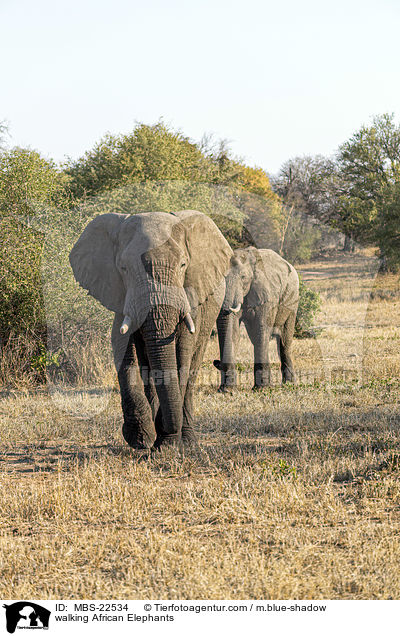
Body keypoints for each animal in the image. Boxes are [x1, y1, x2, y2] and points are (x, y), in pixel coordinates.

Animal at [69, 211, 231, 450]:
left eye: (183, 264)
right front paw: (141, 438)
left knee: (192, 366)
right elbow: (122, 347)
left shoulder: (190, 297)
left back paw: (188, 441)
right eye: (124, 268)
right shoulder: (121, 295)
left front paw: (166, 444)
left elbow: (181, 355)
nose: (163, 429)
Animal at [214, 247, 298, 388]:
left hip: (292, 300)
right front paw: (228, 389)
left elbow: (261, 329)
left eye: (243, 277)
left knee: (284, 341)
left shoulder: (267, 294)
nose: (216, 362)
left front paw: (262, 389)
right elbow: (233, 332)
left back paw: (289, 384)